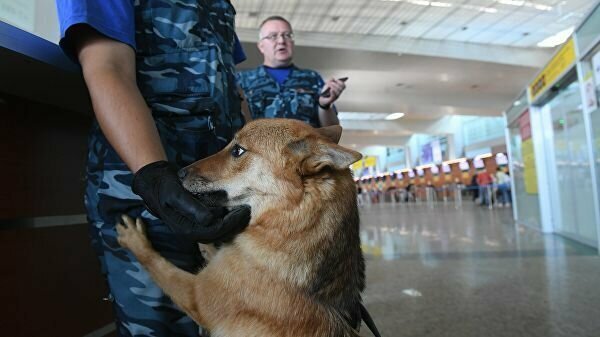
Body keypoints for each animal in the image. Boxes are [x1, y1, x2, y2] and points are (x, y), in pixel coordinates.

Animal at [118, 118, 368, 336]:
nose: (179, 173)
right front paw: (205, 243)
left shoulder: (195, 294)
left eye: (237, 151)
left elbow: (158, 264)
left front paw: (134, 240)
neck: (286, 223)